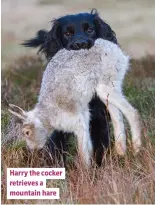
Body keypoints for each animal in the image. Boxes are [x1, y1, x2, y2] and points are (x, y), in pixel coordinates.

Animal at [22, 9, 117, 167]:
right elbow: (56, 151)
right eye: (67, 33)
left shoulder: (99, 119)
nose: (81, 44)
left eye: (90, 30)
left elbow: (100, 149)